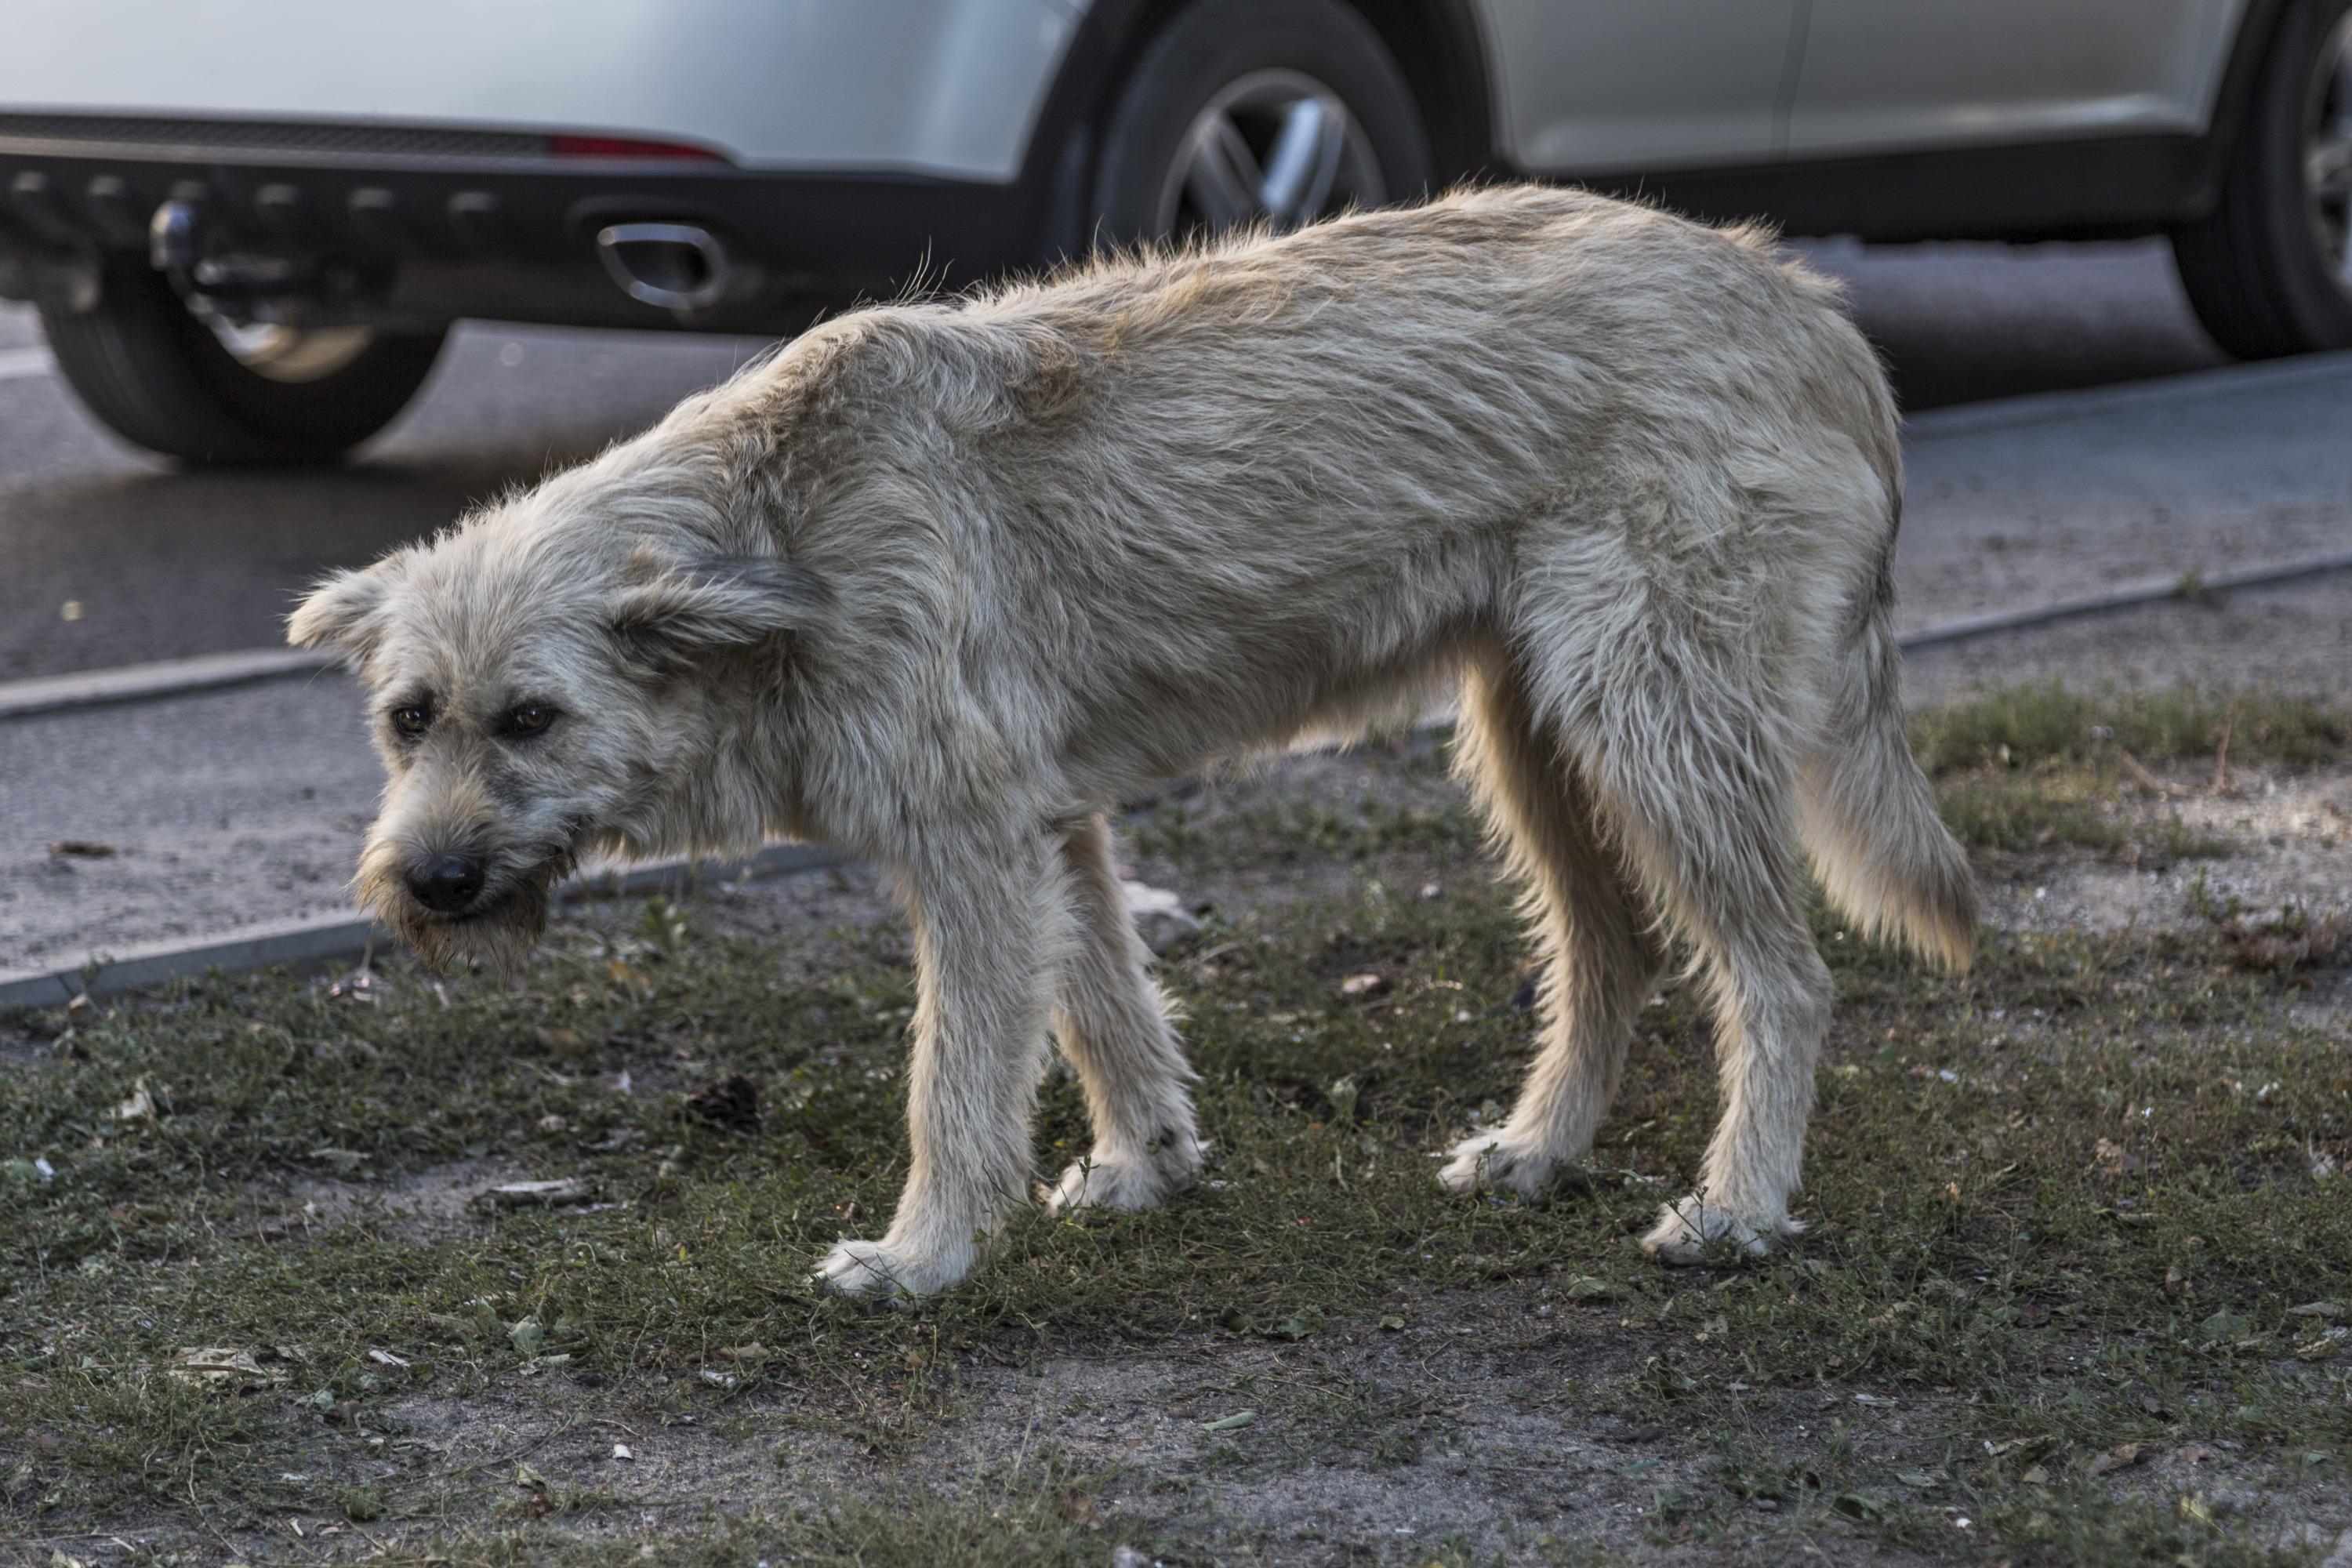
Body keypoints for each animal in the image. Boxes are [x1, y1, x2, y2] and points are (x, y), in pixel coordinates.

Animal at [299, 184, 1985, 1298]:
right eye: (407, 720)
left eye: (531, 717)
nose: (427, 883)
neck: (777, 538)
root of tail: (1804, 299)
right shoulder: (1051, 836)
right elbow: (1104, 1010)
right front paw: (1145, 1166)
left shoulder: (973, 855)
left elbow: (955, 1078)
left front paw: (921, 1256)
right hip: (1540, 747)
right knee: (1617, 955)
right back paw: (1541, 1152)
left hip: (1651, 733)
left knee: (1781, 977)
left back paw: (1742, 1206)